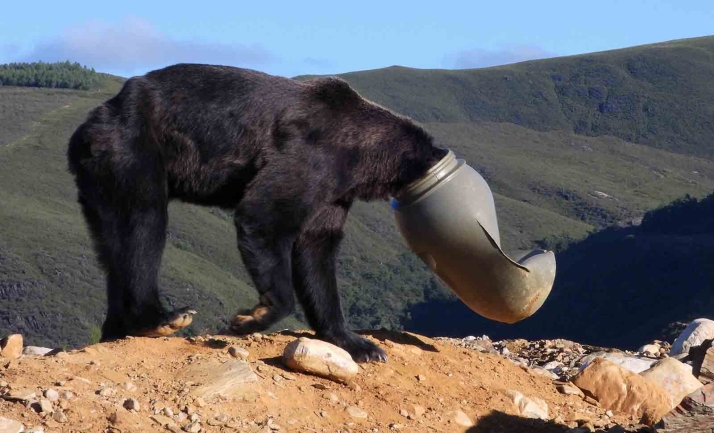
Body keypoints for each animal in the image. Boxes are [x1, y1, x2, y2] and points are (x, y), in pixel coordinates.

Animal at [67, 63, 446, 362]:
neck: (362, 158)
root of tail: (91, 122)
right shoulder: (313, 157)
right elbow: (264, 216)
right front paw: (251, 316)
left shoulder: (333, 195)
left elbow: (317, 254)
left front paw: (360, 344)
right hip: (132, 149)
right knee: (143, 225)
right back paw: (160, 317)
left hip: (100, 178)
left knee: (113, 244)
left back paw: (117, 328)